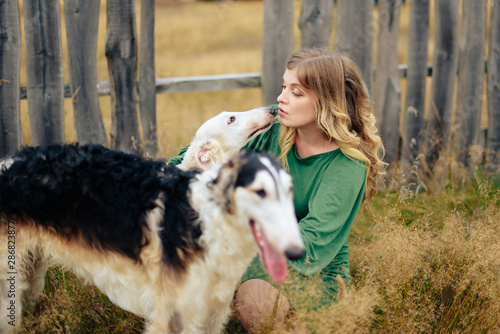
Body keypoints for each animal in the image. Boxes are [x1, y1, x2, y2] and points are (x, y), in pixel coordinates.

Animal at [0, 144, 302, 334]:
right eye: (260, 191)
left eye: (289, 190)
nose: (297, 251)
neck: (204, 222)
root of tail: (7, 163)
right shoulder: (174, 315)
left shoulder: (211, 313)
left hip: (30, 274)